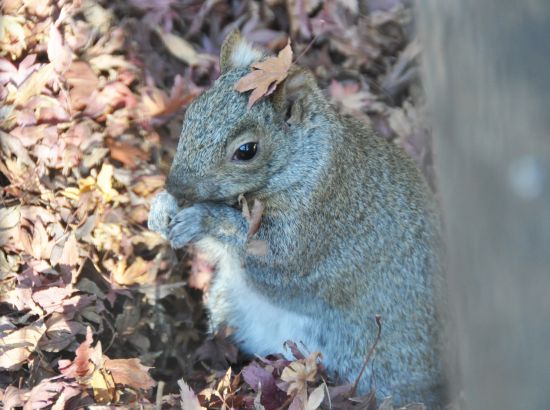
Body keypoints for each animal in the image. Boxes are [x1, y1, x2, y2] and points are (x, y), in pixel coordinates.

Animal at [150, 30, 448, 406]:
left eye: (246, 151)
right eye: (191, 112)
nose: (175, 186)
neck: (305, 159)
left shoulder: (311, 222)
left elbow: (266, 251)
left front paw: (201, 219)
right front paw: (161, 207)